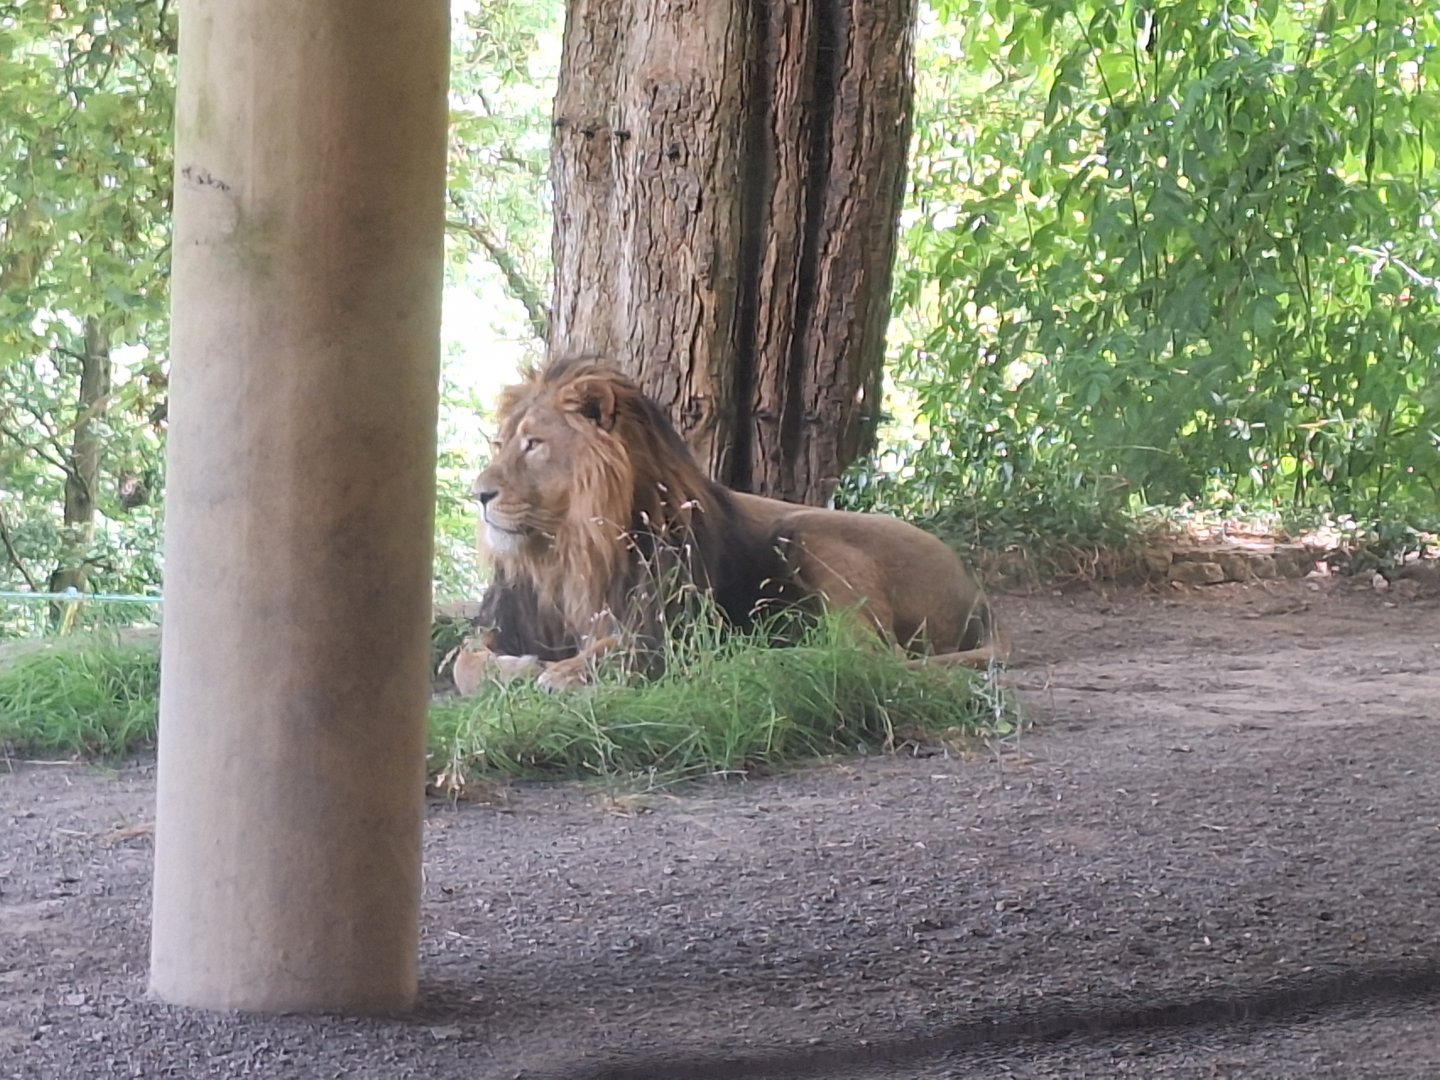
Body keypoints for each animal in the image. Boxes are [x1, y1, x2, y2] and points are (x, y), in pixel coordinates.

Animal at [454, 357, 1004, 693]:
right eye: (501, 444)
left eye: (534, 444)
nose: (478, 494)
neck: (570, 549)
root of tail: (975, 591)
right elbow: (464, 659)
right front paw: (516, 667)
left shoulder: (675, 624)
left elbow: (622, 648)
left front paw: (560, 673)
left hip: (808, 532)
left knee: (865, 655)